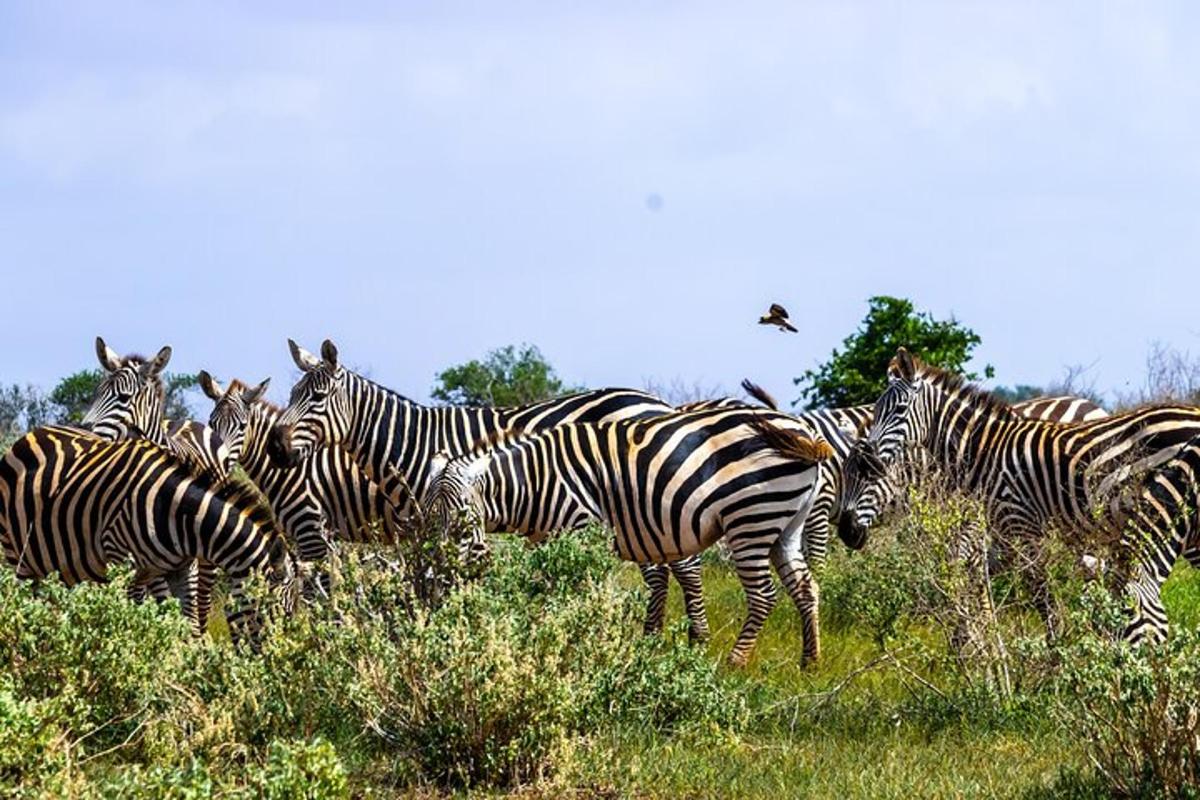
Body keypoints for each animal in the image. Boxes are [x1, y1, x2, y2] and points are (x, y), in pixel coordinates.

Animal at [1, 424, 296, 642]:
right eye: (279, 611)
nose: (281, 664)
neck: (181, 516)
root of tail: (27, 436)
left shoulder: (180, 569)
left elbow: (188, 624)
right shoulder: (123, 562)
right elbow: (129, 619)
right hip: (18, 559)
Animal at [198, 371, 403, 594]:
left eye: (243, 426)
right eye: (211, 423)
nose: (216, 465)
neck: (294, 470)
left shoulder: (311, 532)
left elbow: (317, 590)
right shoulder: (305, 537)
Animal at [429, 410, 835, 666]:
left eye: (461, 526)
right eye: (429, 524)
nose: (437, 586)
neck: (533, 483)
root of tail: (802, 433)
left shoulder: (579, 530)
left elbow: (578, 594)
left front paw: (581, 643)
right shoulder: (545, 541)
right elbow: (543, 592)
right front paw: (542, 639)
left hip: (751, 518)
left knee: (764, 595)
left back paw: (735, 662)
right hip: (785, 523)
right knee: (805, 587)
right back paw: (810, 661)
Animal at [844, 347, 1200, 642]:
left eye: (900, 409)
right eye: (877, 411)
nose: (846, 533)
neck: (984, 452)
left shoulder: (1021, 529)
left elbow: (1044, 603)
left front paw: (1056, 661)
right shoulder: (1001, 537)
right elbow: (977, 587)